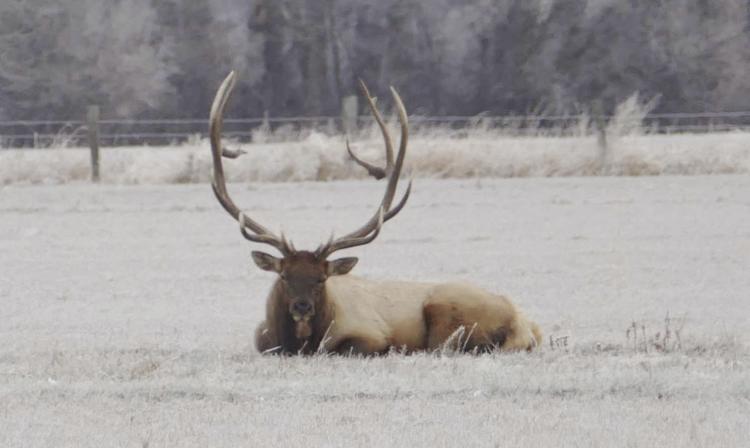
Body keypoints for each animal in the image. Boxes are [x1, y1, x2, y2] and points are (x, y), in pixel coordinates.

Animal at [209, 72, 544, 356]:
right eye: (284, 276)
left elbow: (349, 347)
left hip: (445, 311)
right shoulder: (262, 340)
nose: (301, 307)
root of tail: (524, 324)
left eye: (321, 279)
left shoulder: (370, 335)